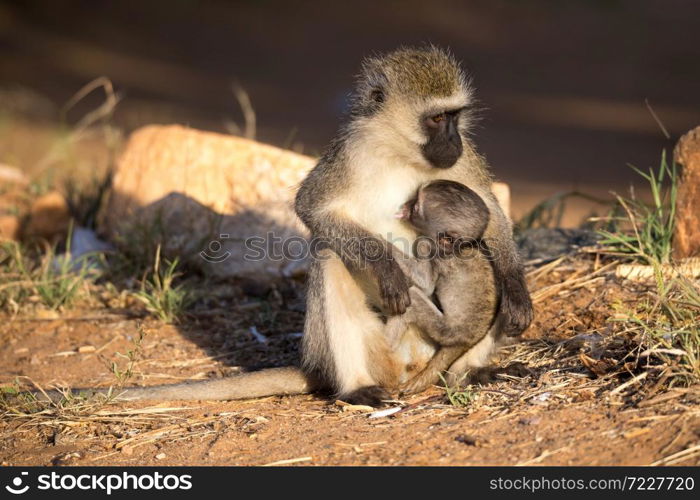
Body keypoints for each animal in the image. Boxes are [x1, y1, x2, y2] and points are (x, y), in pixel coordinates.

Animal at [388, 180, 498, 394]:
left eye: (415, 207)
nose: (406, 205)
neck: (458, 248)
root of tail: (467, 341)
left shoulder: (429, 246)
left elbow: (425, 284)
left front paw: (377, 242)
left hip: (446, 332)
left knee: (413, 299)